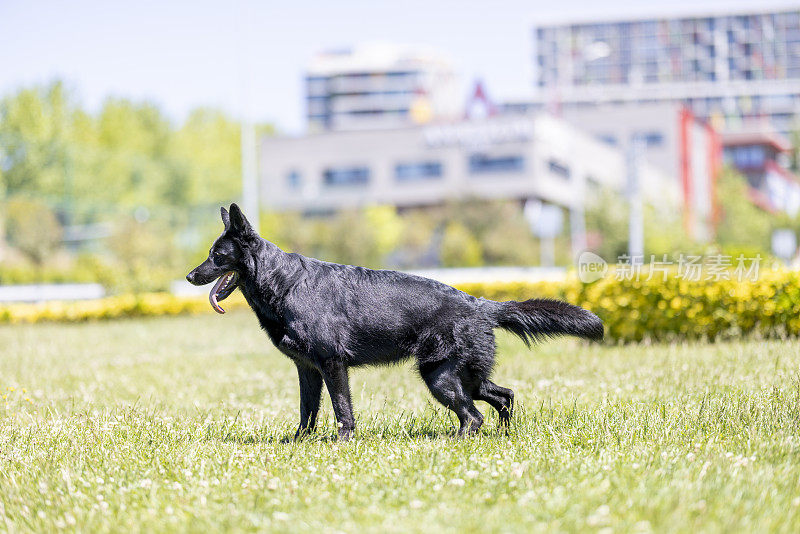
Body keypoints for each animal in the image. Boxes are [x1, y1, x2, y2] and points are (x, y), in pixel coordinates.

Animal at [186, 203, 600, 442]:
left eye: (217, 256)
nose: (190, 276)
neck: (285, 284)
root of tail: (479, 304)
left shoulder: (332, 366)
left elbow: (342, 411)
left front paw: (343, 444)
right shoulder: (308, 371)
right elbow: (308, 412)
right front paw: (300, 443)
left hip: (439, 378)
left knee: (473, 416)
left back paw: (456, 443)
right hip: (465, 378)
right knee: (503, 397)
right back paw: (502, 437)